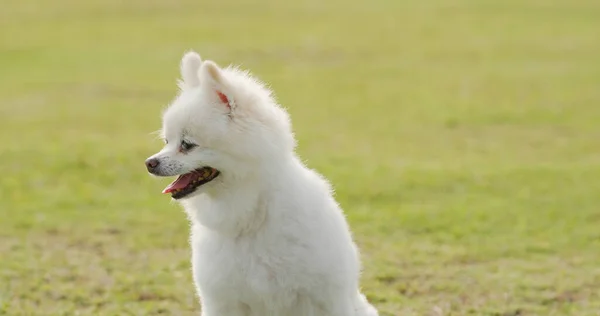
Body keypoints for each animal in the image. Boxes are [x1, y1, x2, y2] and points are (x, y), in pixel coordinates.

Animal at [145, 50, 378, 314]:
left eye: (187, 144)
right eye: (167, 141)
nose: (150, 162)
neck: (251, 216)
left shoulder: (323, 298)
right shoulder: (224, 300)